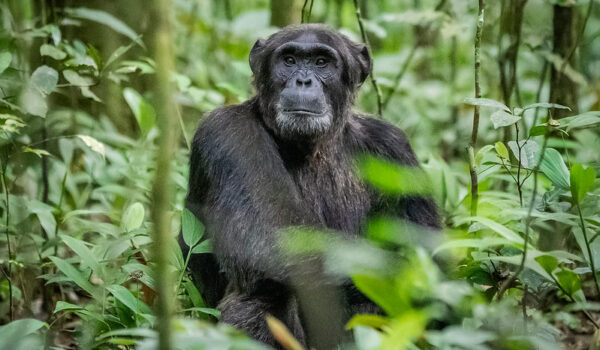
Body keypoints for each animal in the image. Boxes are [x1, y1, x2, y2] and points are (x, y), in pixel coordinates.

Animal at [180, 23, 438, 348]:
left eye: (321, 62)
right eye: (289, 60)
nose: (303, 80)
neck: (310, 147)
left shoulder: (395, 150)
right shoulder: (226, 133)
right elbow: (275, 238)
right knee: (261, 295)